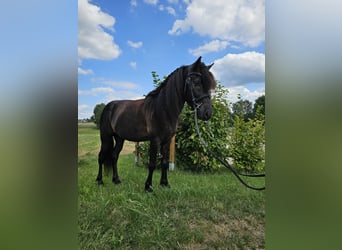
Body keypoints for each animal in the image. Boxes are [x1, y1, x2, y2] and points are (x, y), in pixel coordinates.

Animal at [95, 57, 215, 193]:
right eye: (196, 83)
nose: (208, 113)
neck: (163, 108)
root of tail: (109, 106)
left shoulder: (167, 140)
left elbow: (164, 162)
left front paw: (165, 184)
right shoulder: (155, 140)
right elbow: (152, 163)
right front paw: (148, 187)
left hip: (120, 138)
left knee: (114, 156)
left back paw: (116, 180)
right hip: (105, 138)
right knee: (101, 157)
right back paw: (99, 181)